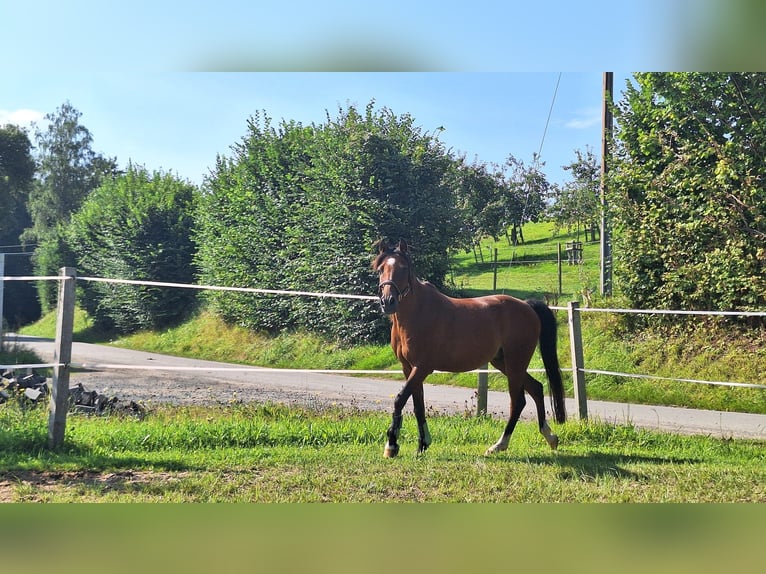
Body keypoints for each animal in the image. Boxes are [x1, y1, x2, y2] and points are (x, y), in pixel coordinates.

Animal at [372, 239, 566, 457]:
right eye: (380, 269)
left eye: (403, 268)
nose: (388, 302)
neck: (418, 313)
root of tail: (527, 306)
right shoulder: (409, 368)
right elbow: (417, 405)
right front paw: (422, 444)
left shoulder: (422, 367)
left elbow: (400, 399)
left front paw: (391, 445)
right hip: (504, 363)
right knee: (536, 389)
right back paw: (550, 437)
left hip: (516, 363)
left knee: (518, 402)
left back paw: (499, 445)